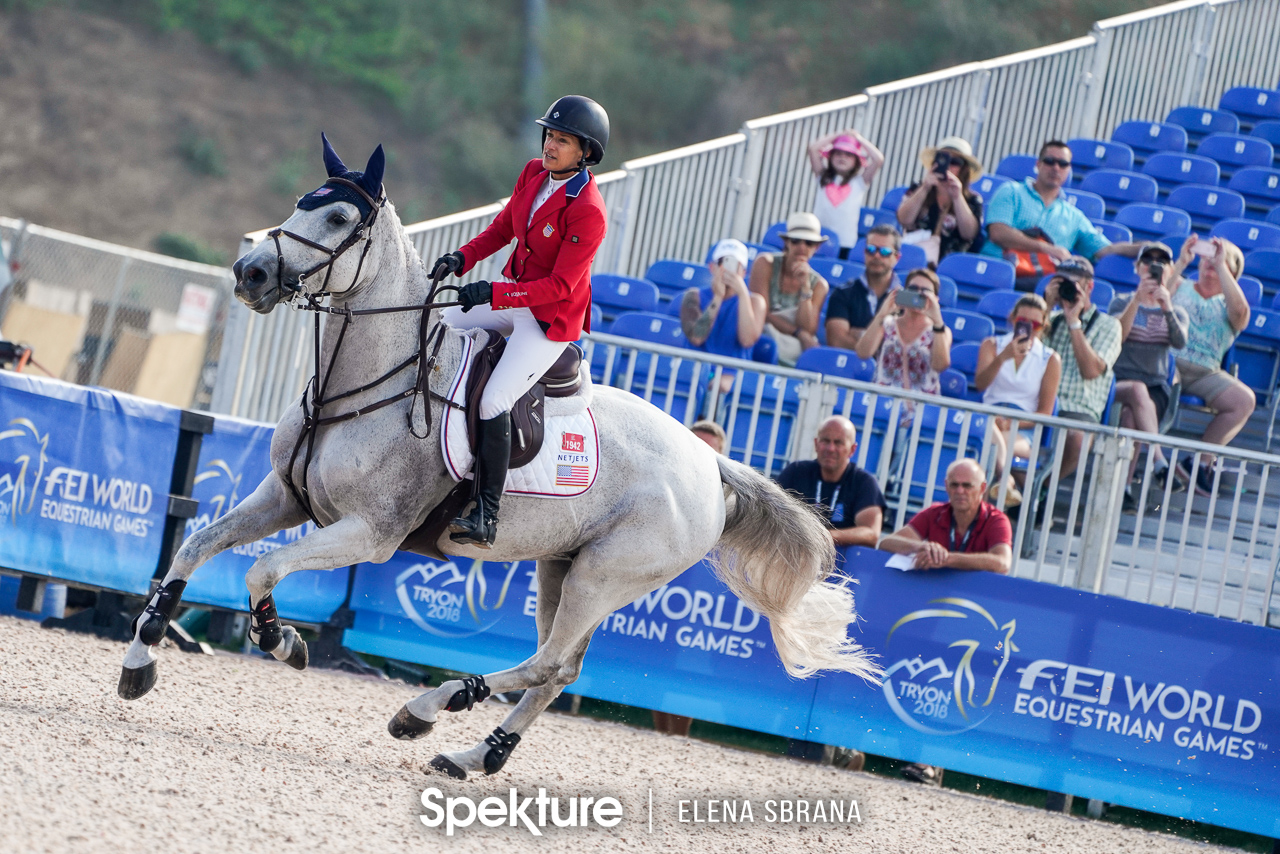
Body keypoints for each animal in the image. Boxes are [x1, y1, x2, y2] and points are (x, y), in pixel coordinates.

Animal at [120, 138, 880, 783]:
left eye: (338, 216)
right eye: (303, 201)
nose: (250, 273)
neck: (362, 383)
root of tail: (711, 464)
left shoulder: (370, 533)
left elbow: (263, 569)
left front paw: (282, 641)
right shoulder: (283, 495)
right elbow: (196, 544)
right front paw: (143, 652)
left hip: (605, 576)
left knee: (547, 662)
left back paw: (427, 710)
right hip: (562, 566)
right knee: (560, 671)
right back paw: (475, 755)